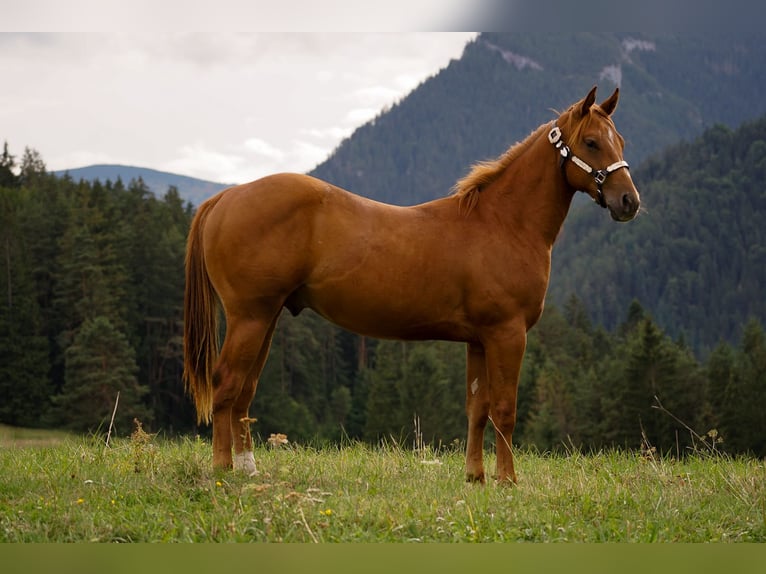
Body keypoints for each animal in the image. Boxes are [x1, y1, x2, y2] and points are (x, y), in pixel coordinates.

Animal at [183, 86, 640, 483]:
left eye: (621, 141)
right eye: (593, 142)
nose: (629, 202)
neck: (502, 223)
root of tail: (225, 197)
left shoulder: (479, 340)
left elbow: (477, 408)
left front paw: (475, 477)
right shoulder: (507, 334)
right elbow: (504, 409)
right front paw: (508, 480)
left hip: (267, 318)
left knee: (244, 390)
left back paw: (247, 467)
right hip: (250, 317)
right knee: (226, 383)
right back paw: (223, 469)